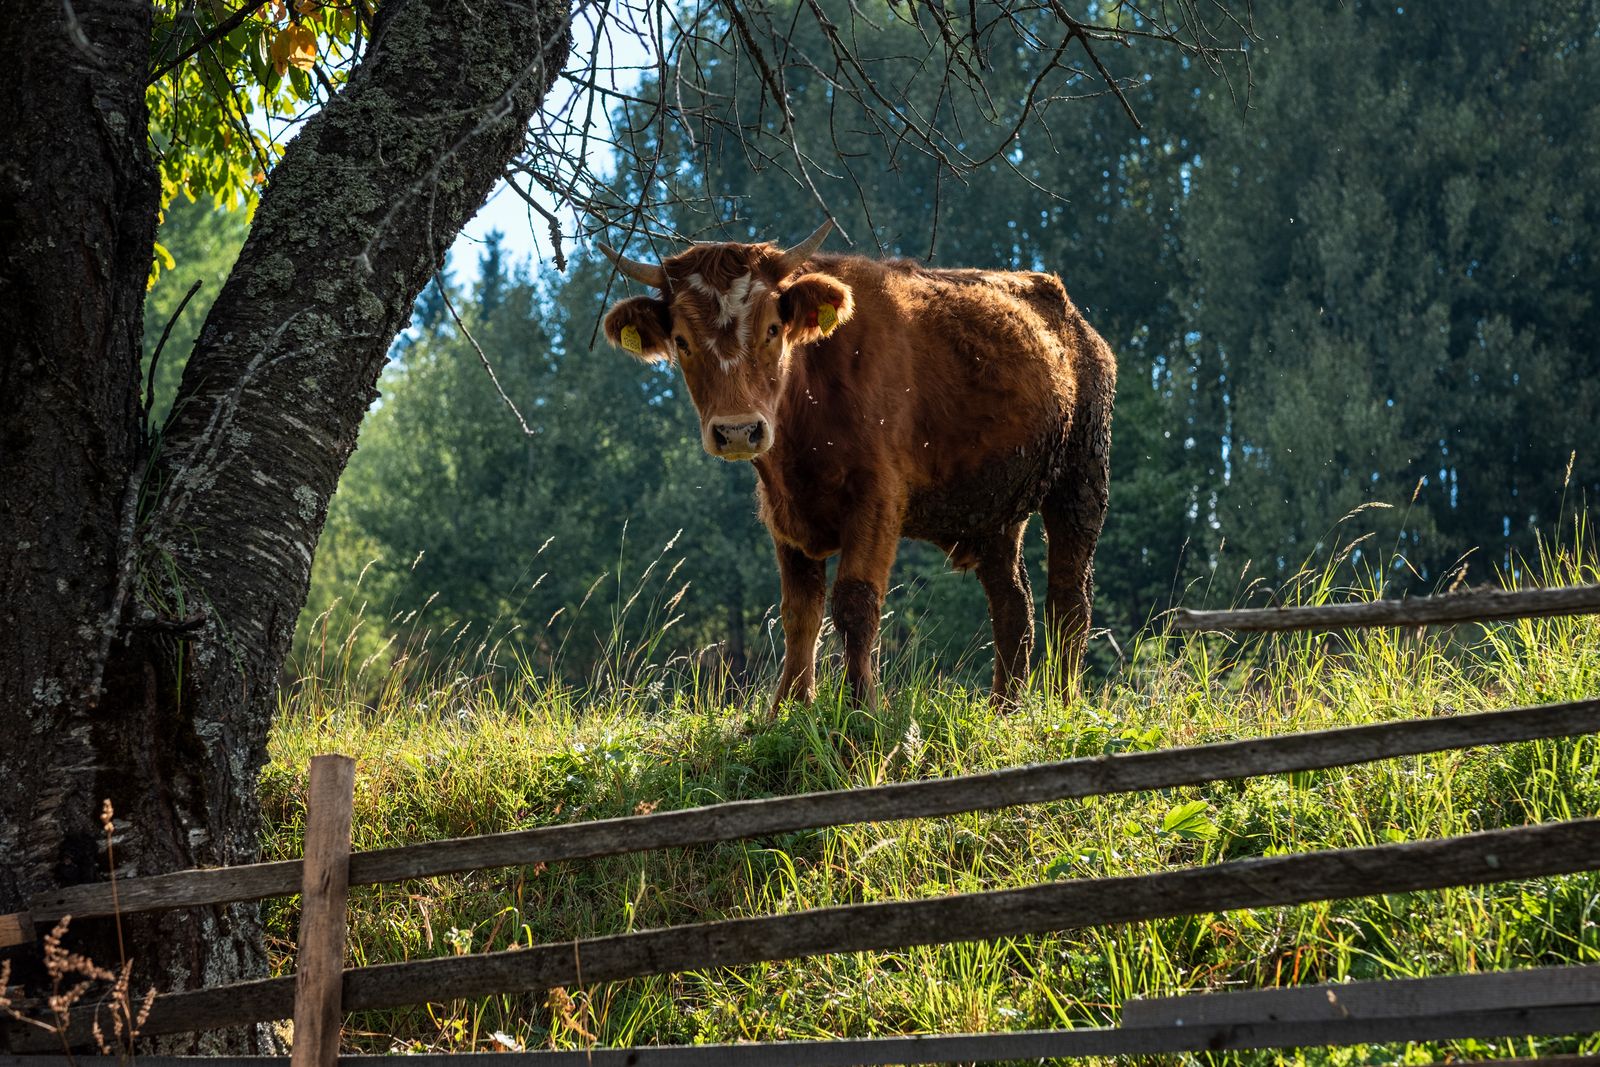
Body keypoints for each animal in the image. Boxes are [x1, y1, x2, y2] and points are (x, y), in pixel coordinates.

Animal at [601, 223, 1113, 710]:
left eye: (772, 329)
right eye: (682, 341)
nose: (739, 431)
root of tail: (1073, 320)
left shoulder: (877, 502)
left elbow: (855, 604)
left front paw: (861, 710)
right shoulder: (785, 516)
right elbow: (800, 612)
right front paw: (786, 708)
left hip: (1081, 481)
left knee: (1069, 600)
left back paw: (1062, 704)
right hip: (995, 511)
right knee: (1012, 604)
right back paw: (1003, 708)